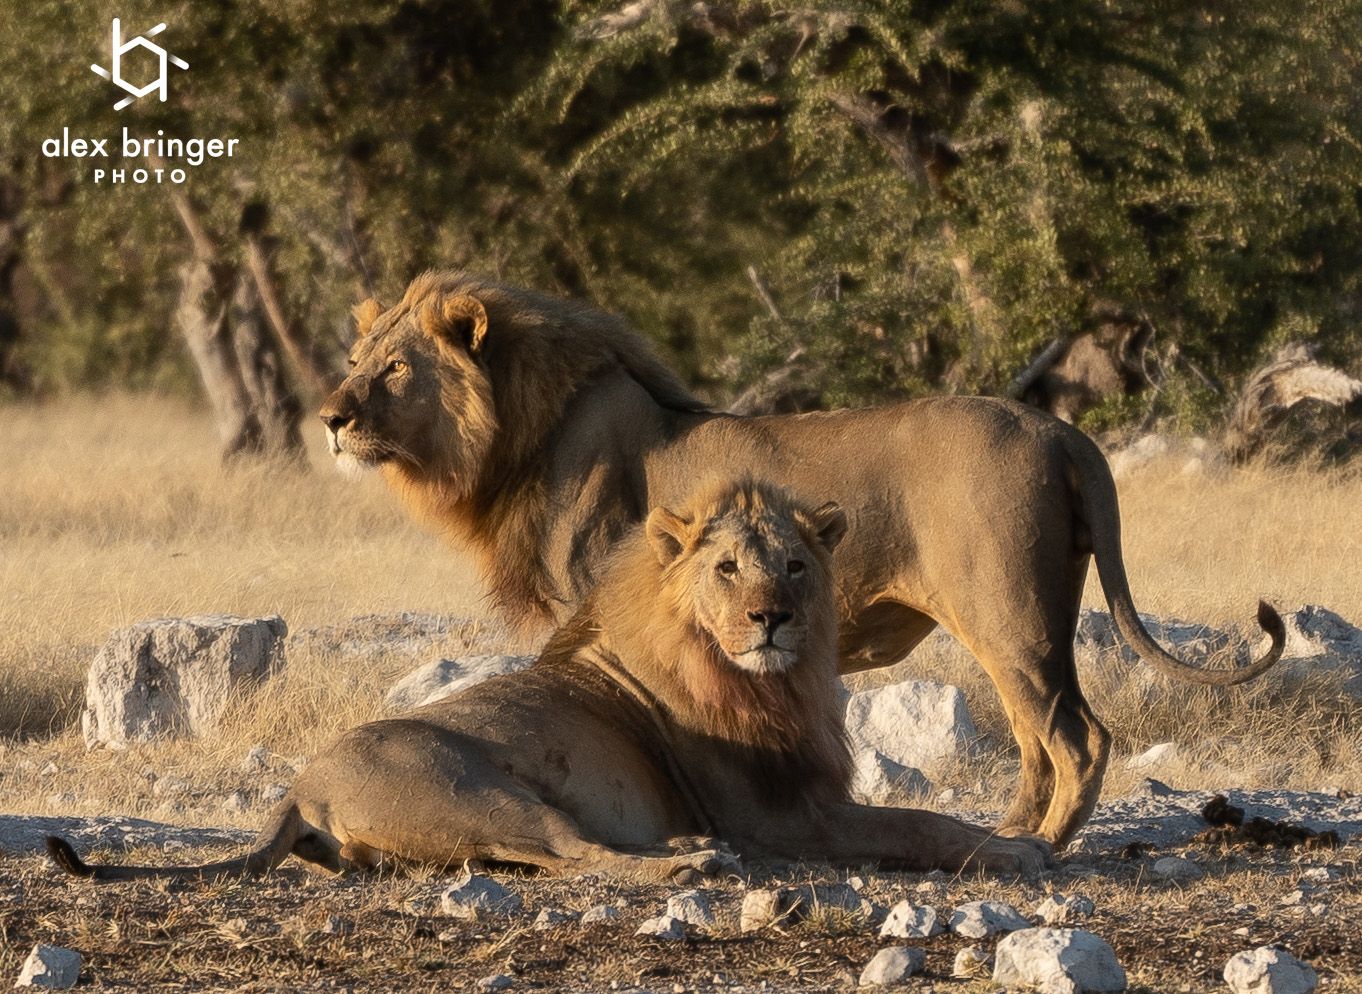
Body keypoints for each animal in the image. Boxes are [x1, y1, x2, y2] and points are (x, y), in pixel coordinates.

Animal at [47, 482, 1051, 882]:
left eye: (797, 566)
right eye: (728, 568)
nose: (773, 618)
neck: (774, 681)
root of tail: (296, 788)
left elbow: (920, 819)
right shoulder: (778, 817)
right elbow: (915, 823)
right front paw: (1014, 849)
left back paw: (683, 849)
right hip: (480, 790)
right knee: (573, 858)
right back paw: (690, 859)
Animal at [316, 271, 1285, 846]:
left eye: (395, 368)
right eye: (357, 359)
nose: (329, 416)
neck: (522, 435)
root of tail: (1059, 430)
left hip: (1010, 613)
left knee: (1078, 739)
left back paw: (1038, 848)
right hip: (1020, 622)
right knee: (1038, 739)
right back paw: (1008, 832)